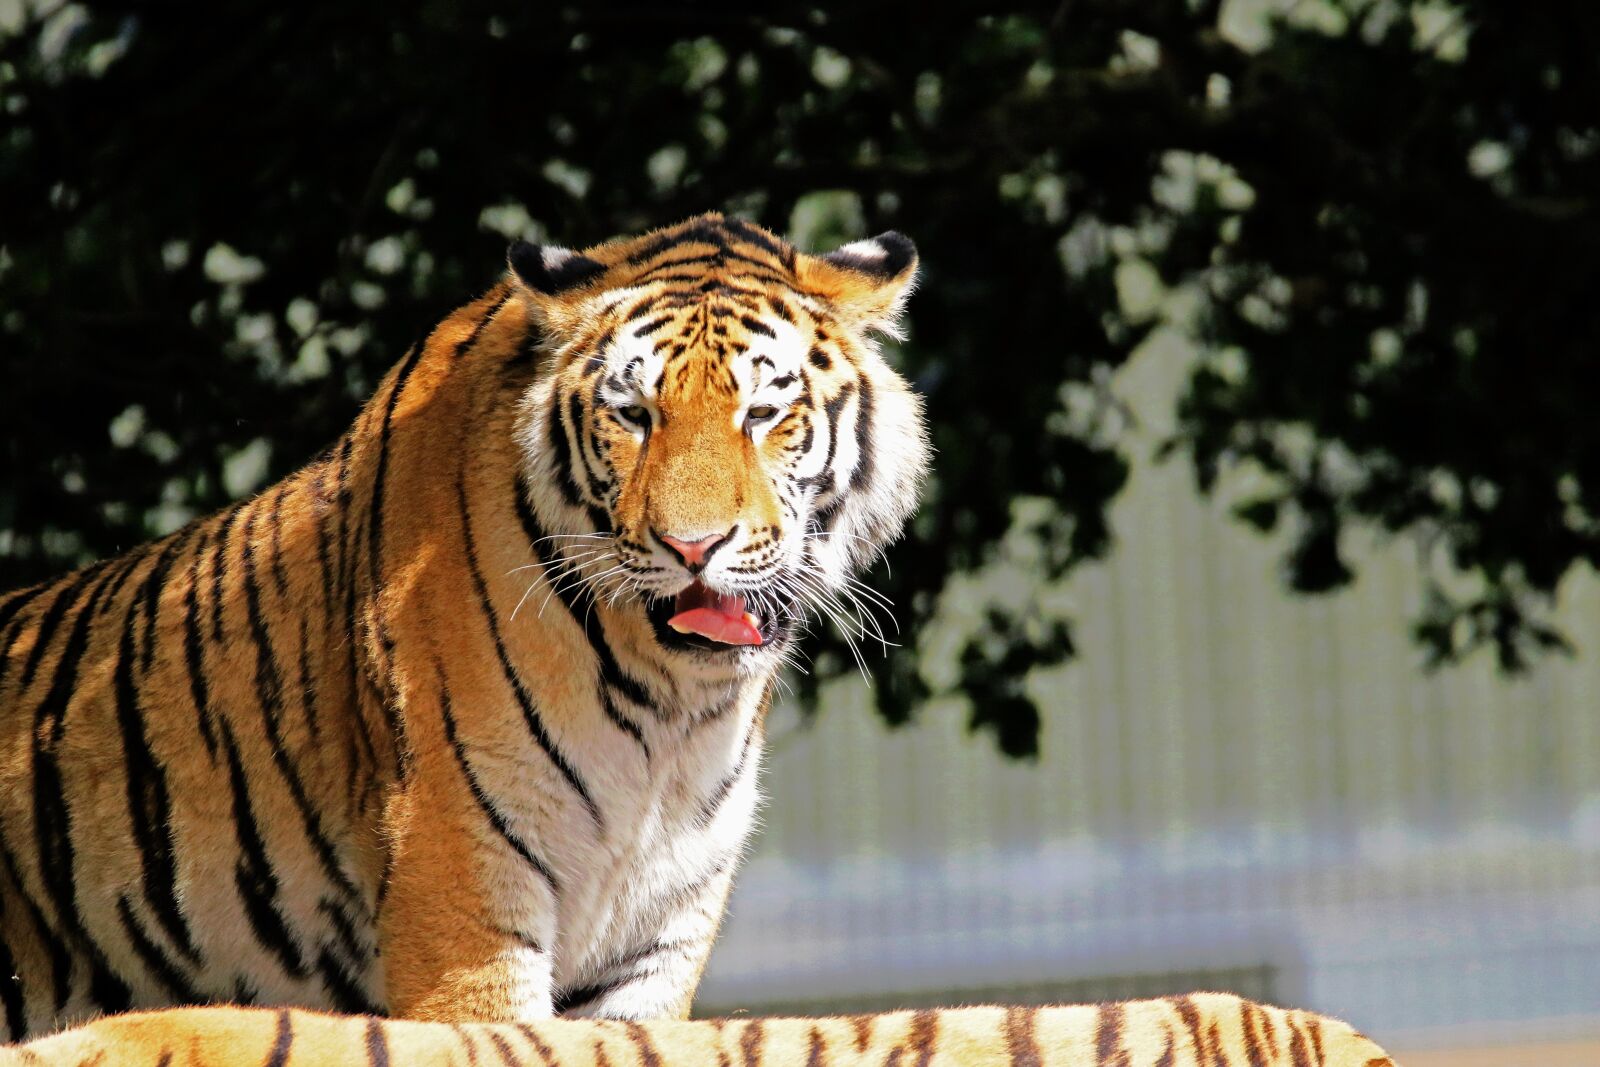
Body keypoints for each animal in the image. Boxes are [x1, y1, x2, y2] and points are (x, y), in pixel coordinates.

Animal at [0, 213, 930, 1038]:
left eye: (764, 414)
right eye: (634, 415)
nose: (692, 546)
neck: (670, 708)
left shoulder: (655, 940)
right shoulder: (460, 891)